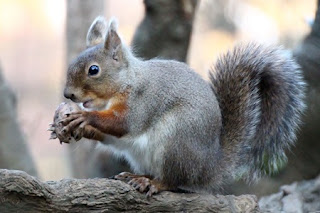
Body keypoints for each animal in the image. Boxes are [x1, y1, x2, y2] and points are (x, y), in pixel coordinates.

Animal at [55, 16, 304, 196]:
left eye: (93, 70)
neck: (127, 81)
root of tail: (209, 167)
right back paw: (137, 177)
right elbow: (111, 136)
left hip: (177, 141)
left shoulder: (142, 100)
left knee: (175, 181)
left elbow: (123, 123)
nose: (68, 94)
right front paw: (80, 128)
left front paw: (84, 118)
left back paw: (152, 183)